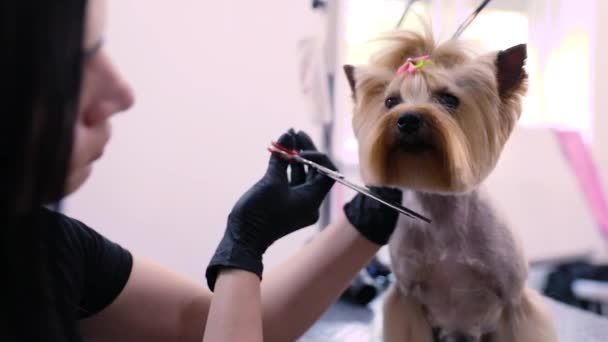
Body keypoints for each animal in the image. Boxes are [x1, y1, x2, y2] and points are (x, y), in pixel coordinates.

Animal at [344, 29, 560, 342]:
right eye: (390, 102)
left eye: (448, 100)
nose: (407, 119)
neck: (441, 208)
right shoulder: (407, 299)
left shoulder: (514, 302)